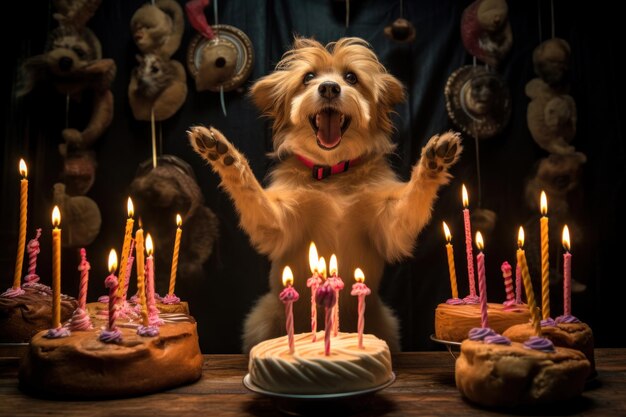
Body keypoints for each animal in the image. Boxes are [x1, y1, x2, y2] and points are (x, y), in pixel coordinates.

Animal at [188, 38, 460, 352]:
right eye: (308, 77)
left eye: (351, 77)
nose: (329, 87)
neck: (332, 173)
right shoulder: (278, 227)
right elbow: (253, 193)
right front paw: (226, 158)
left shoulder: (390, 228)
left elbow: (411, 201)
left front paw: (433, 163)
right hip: (263, 320)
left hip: (386, 326)